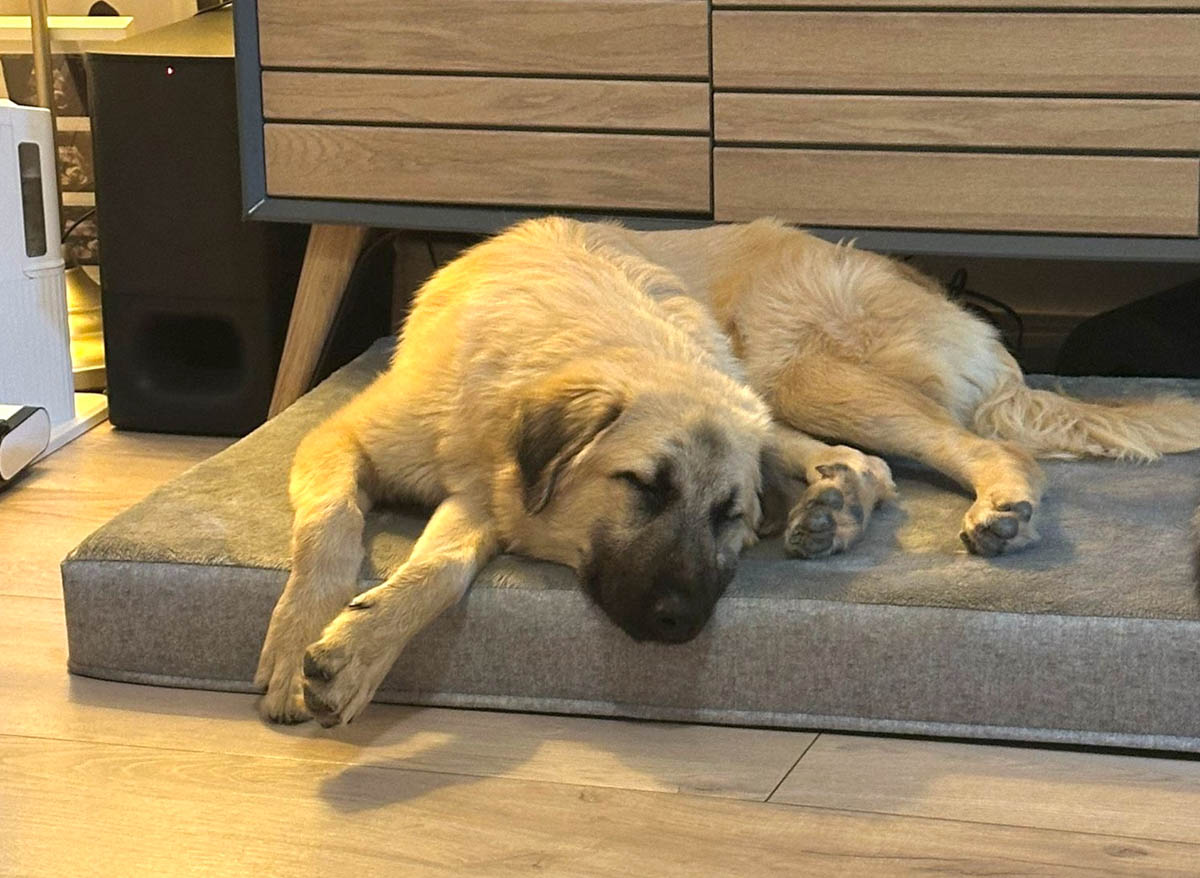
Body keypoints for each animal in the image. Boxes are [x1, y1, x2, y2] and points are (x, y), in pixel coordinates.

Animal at [255, 216, 890, 726]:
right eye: (643, 486)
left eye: (728, 515)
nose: (680, 622)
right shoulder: (342, 440)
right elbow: (333, 523)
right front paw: (300, 637)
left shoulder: (486, 501)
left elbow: (443, 568)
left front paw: (357, 647)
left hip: (797, 388)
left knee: (876, 462)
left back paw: (835, 507)